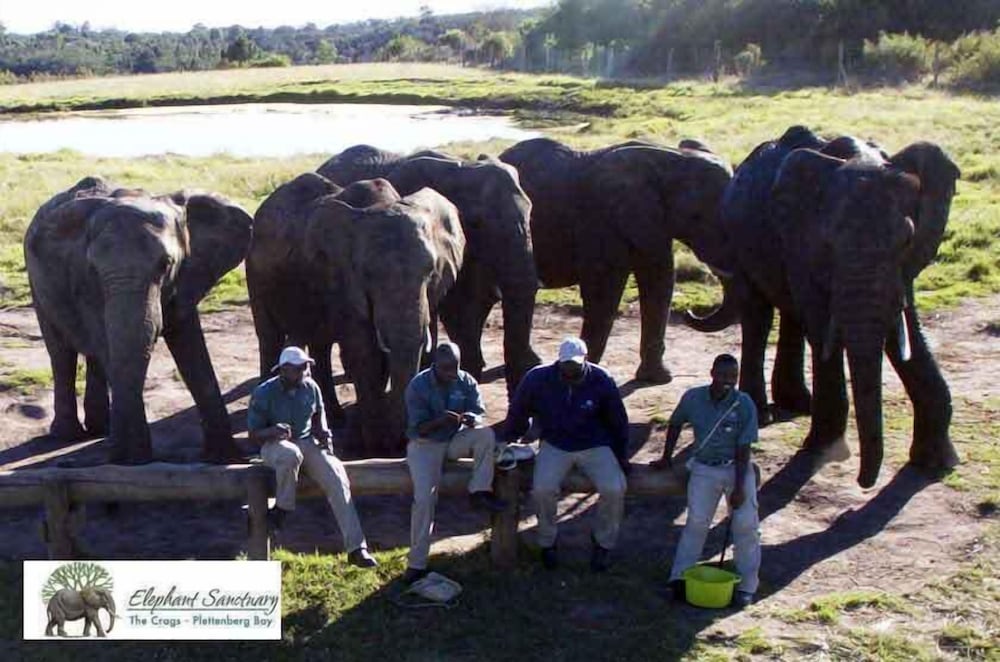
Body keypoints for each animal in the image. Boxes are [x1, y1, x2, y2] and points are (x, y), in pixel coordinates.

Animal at [25, 177, 252, 464]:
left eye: (166, 265)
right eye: (93, 269)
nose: (121, 458)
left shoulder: (187, 273)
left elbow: (189, 345)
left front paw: (225, 458)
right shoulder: (84, 282)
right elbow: (111, 346)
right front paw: (133, 459)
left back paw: (100, 429)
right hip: (37, 283)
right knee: (61, 351)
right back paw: (68, 435)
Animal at [247, 173, 464, 455]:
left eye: (431, 271)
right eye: (368, 274)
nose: (400, 443)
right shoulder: (340, 279)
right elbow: (364, 351)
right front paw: (374, 447)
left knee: (317, 342)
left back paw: (336, 418)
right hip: (255, 274)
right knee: (270, 337)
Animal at [498, 137, 734, 383]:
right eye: (698, 216)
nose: (690, 312)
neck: (671, 158)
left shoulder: (652, 224)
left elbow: (659, 281)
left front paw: (656, 378)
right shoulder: (602, 219)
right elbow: (603, 290)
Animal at [690, 126, 960, 487]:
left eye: (906, 239)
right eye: (828, 243)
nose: (863, 482)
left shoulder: (906, 265)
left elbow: (905, 327)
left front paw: (935, 464)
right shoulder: (801, 239)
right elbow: (821, 325)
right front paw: (823, 450)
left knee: (790, 314)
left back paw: (798, 404)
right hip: (737, 233)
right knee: (760, 314)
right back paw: (762, 412)